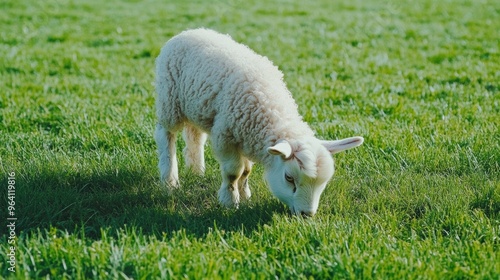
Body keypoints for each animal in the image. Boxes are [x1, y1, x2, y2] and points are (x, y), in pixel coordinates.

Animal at [154, 29, 362, 217]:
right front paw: (230, 201)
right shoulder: (226, 136)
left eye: (322, 183)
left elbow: (246, 171)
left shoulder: (246, 137)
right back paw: (170, 180)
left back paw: (196, 171)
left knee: (194, 136)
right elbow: (233, 172)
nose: (307, 214)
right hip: (169, 101)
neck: (270, 109)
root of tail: (189, 31)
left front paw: (245, 195)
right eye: (289, 178)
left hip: (196, 107)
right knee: (166, 135)